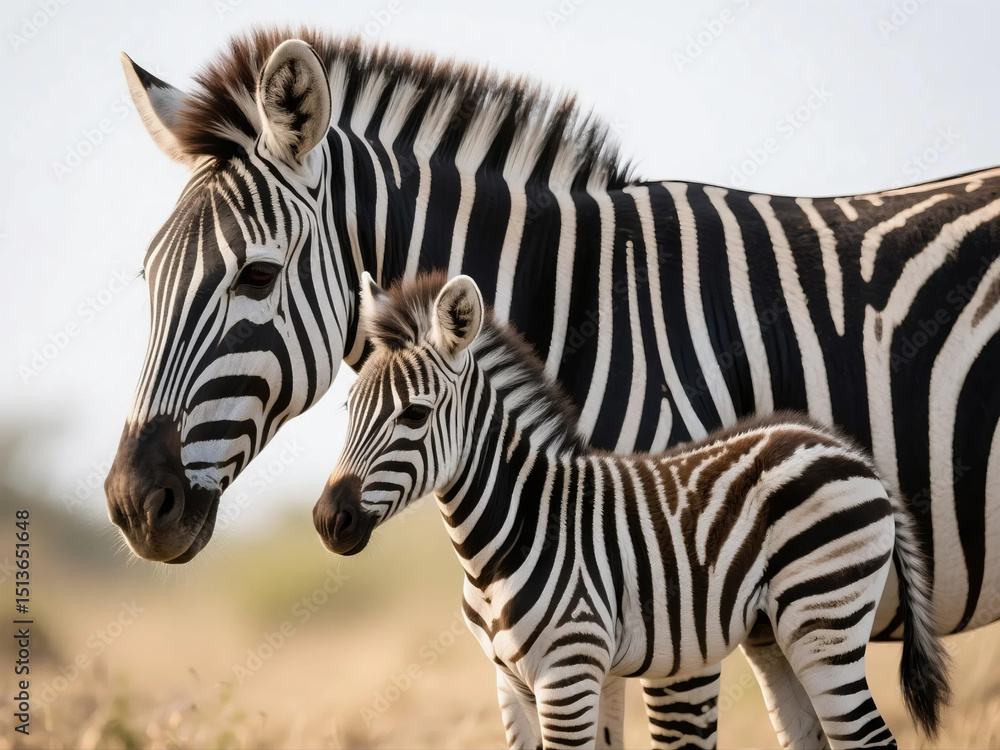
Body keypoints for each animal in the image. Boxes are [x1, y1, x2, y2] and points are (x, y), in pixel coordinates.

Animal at [315, 270, 950, 750]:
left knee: (868, 738)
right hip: (774, 634)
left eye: (415, 415)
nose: (327, 520)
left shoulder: (568, 675)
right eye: (349, 409)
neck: (503, 541)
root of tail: (846, 448)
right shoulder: (510, 685)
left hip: (823, 621)